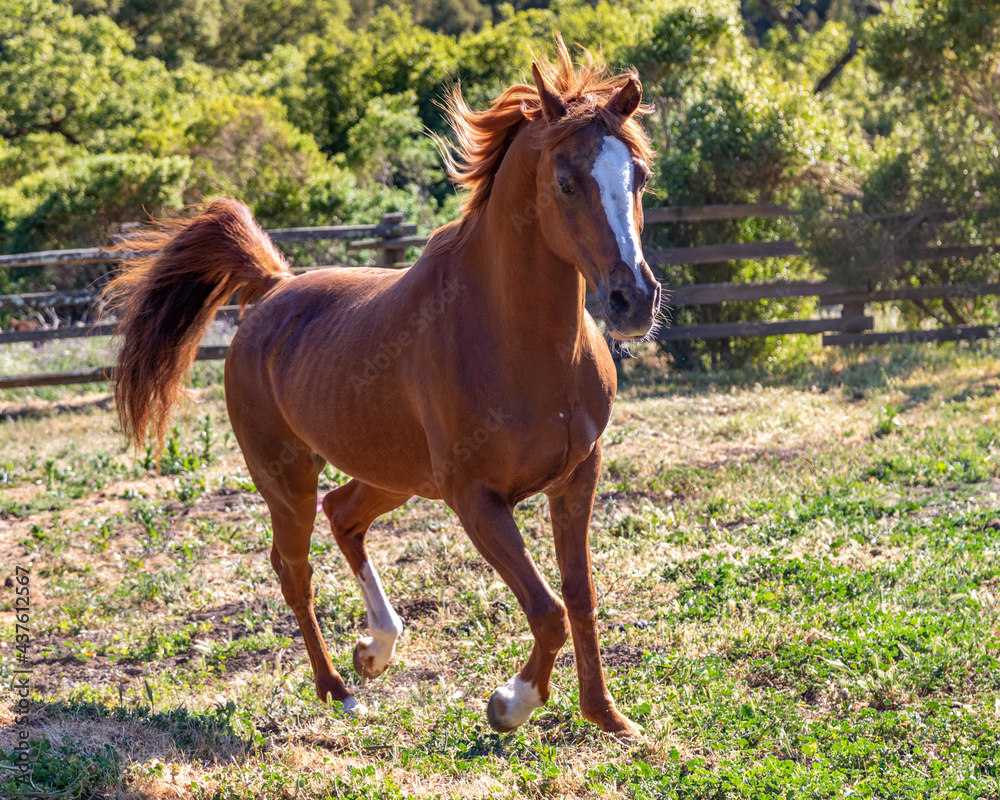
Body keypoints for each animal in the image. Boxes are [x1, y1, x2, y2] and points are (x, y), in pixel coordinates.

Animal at [105, 40, 662, 738]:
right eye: (565, 181)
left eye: (638, 176)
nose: (633, 300)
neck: (511, 339)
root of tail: (273, 289)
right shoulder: (476, 499)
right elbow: (548, 609)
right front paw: (509, 704)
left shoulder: (577, 476)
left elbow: (580, 597)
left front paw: (608, 717)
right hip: (288, 480)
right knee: (294, 569)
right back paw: (338, 689)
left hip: (395, 475)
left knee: (343, 514)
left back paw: (376, 648)